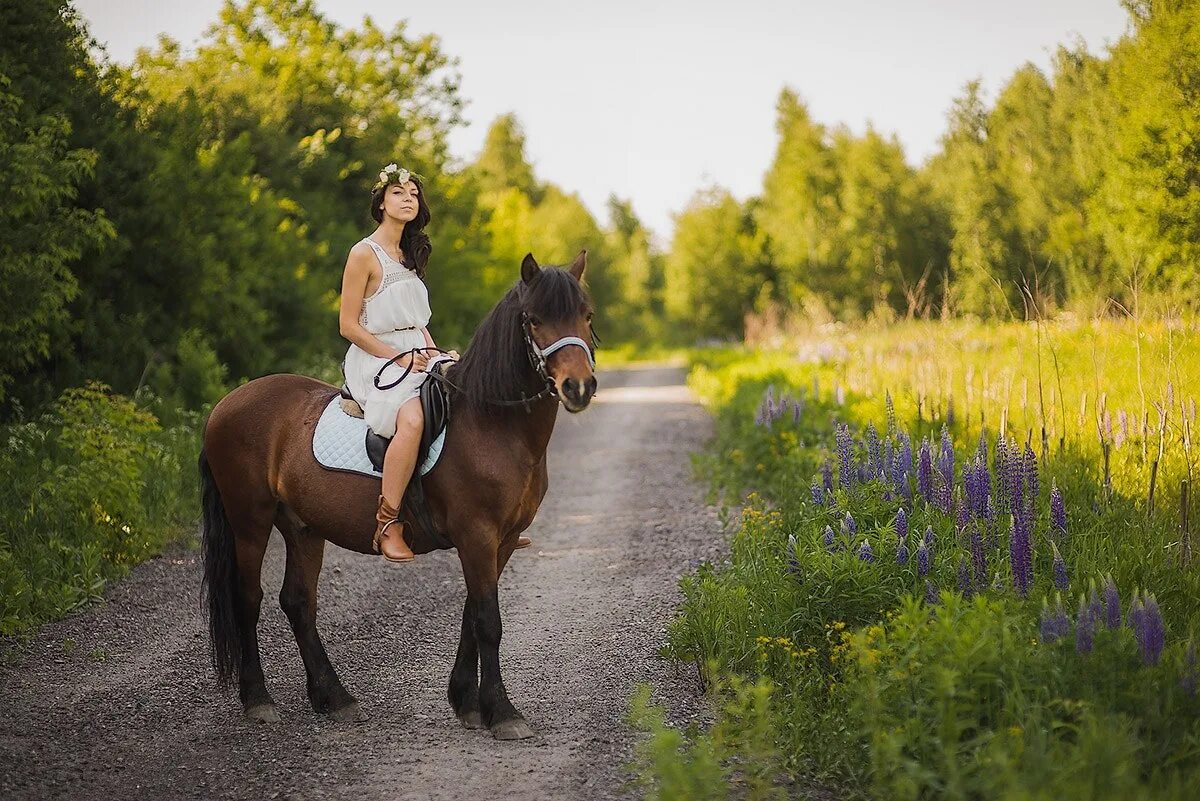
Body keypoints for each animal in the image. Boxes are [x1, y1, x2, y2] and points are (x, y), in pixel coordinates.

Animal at [199, 250, 597, 738]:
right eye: (535, 319)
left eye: (586, 315)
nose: (579, 387)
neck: (491, 423)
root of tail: (223, 406)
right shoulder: (478, 536)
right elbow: (488, 621)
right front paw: (502, 713)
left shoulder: (500, 541)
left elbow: (471, 615)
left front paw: (466, 701)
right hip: (250, 522)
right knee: (248, 598)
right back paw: (258, 700)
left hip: (302, 528)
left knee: (297, 602)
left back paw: (334, 698)